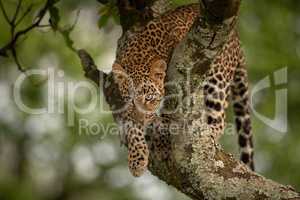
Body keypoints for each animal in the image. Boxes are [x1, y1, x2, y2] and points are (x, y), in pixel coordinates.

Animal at [111, 3, 254, 177]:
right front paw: (137, 160)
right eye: (130, 101)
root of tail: (236, 38)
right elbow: (132, 127)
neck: (139, 54)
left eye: (149, 98)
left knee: (219, 118)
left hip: (217, 77)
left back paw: (210, 134)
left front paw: (162, 138)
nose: (141, 120)